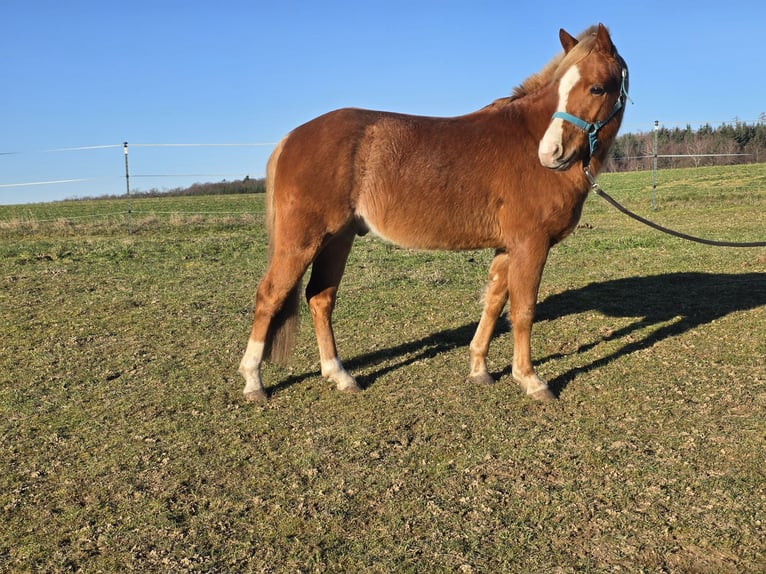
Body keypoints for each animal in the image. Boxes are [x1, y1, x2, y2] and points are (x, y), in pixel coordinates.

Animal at [239, 23, 629, 402]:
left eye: (596, 88)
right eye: (561, 89)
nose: (550, 154)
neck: (528, 137)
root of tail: (291, 137)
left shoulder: (507, 247)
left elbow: (494, 303)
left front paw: (480, 370)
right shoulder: (530, 245)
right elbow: (523, 311)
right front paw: (530, 380)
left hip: (338, 239)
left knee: (320, 298)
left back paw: (340, 376)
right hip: (302, 240)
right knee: (269, 296)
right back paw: (253, 382)